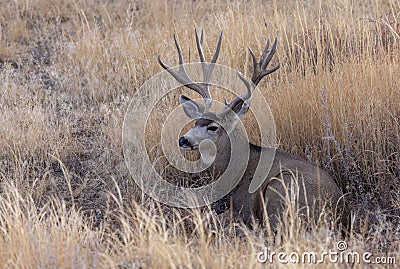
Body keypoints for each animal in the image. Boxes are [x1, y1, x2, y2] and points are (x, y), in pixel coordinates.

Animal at [156, 30, 346, 229]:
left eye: (213, 127)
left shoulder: (243, 207)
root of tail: (339, 209)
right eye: (195, 122)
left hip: (281, 188)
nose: (183, 139)